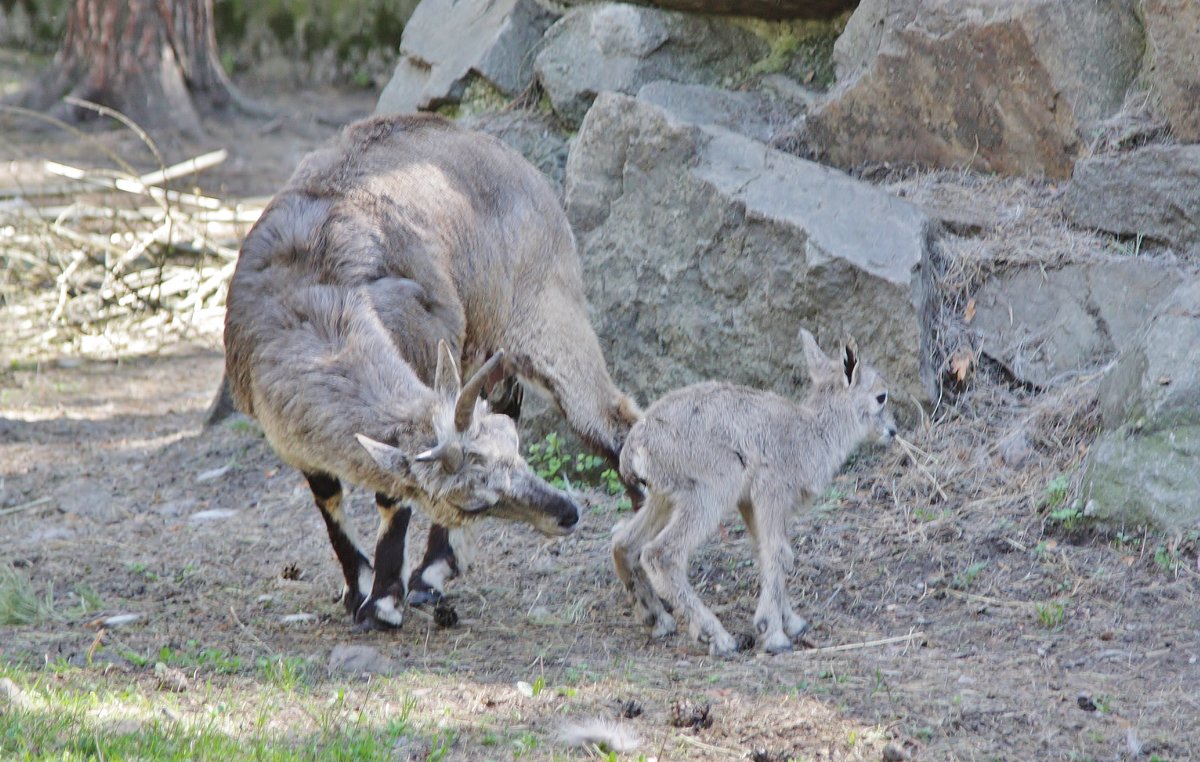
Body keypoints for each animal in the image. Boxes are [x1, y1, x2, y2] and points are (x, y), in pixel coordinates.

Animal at [614, 328, 897, 657]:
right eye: (881, 396)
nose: (893, 431)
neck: (812, 434)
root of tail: (636, 448)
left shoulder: (748, 502)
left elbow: (771, 552)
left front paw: (792, 623)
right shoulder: (769, 490)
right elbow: (777, 553)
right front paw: (773, 634)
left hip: (664, 499)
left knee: (624, 543)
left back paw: (657, 620)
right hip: (710, 493)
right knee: (661, 554)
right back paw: (717, 638)